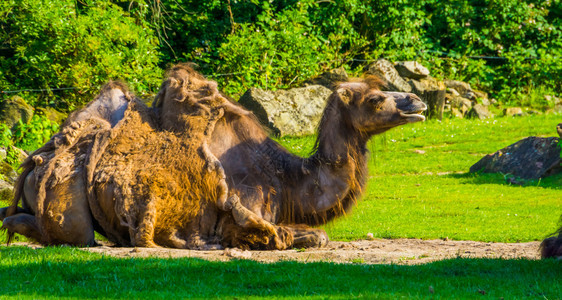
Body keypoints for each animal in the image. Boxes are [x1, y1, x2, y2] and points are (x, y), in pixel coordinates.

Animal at [0, 64, 424, 250]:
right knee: (72, 235)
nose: (417, 102)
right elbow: (299, 236)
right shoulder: (240, 217)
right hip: (67, 198)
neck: (285, 180)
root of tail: (35, 161)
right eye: (376, 99)